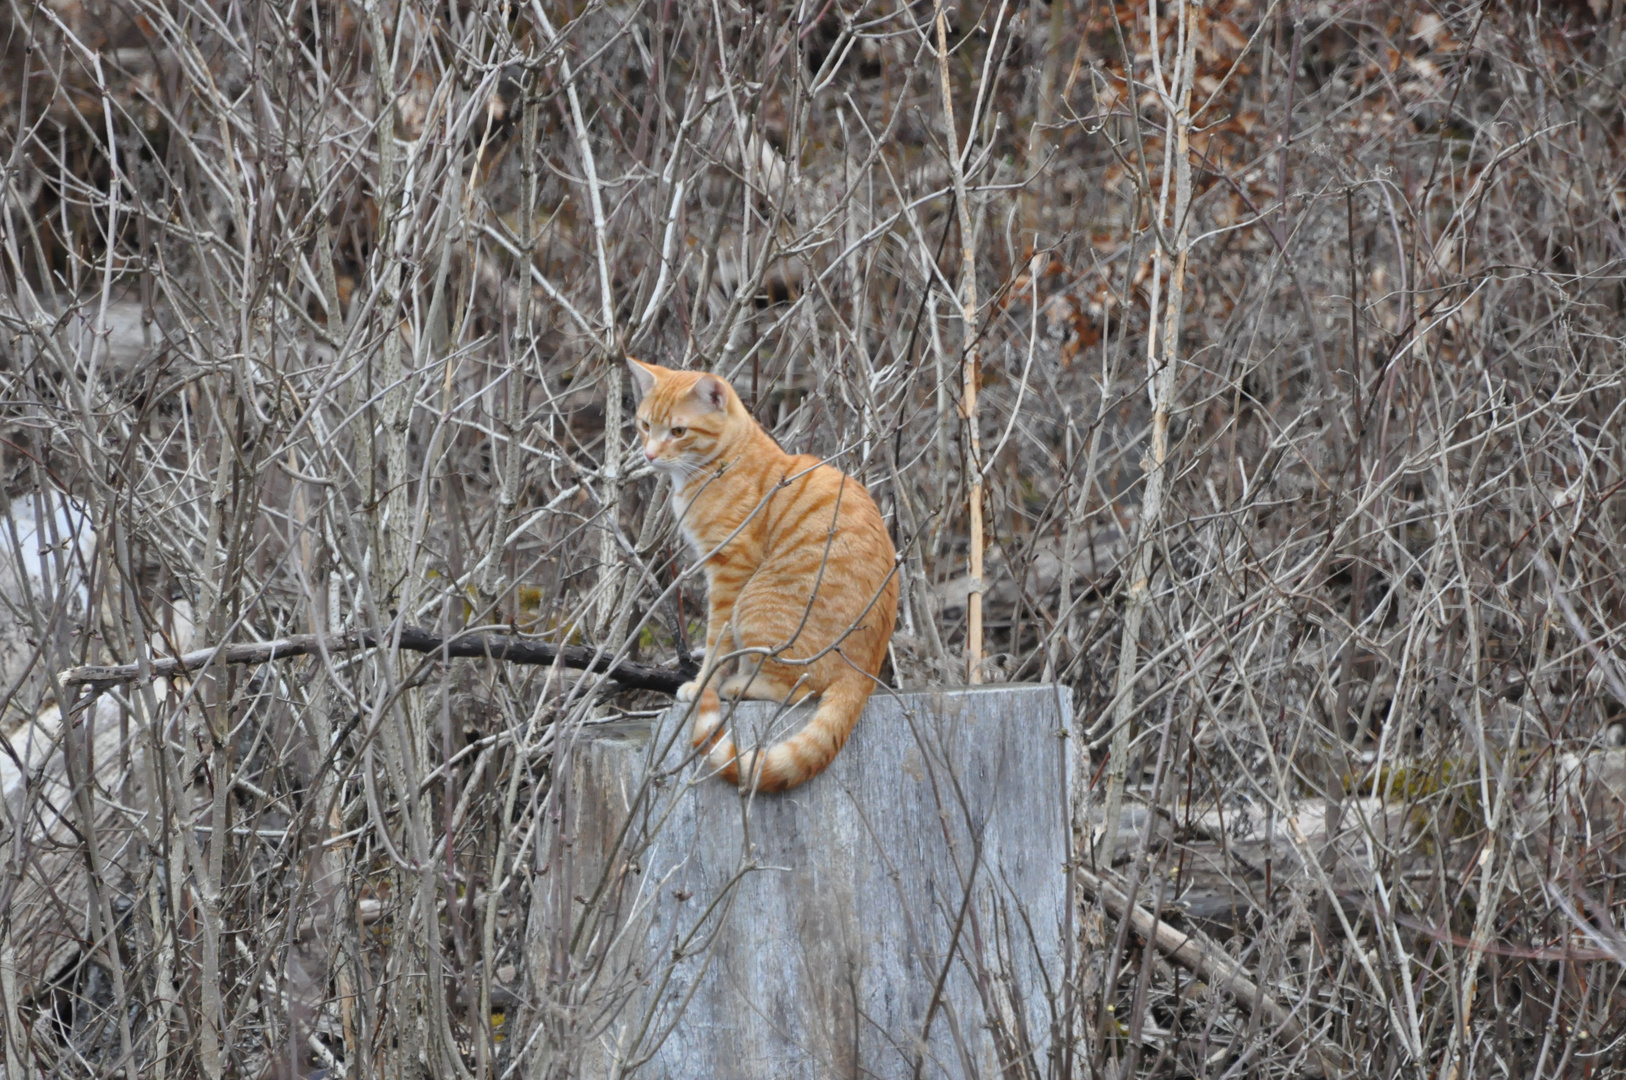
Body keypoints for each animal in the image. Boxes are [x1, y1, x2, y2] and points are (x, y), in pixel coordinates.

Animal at [627, 357, 904, 790]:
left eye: (678, 432)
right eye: (644, 425)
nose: (651, 454)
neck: (724, 461)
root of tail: (864, 674)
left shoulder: (729, 568)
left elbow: (717, 641)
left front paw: (703, 685)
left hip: (757, 603)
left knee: (795, 689)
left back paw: (738, 685)